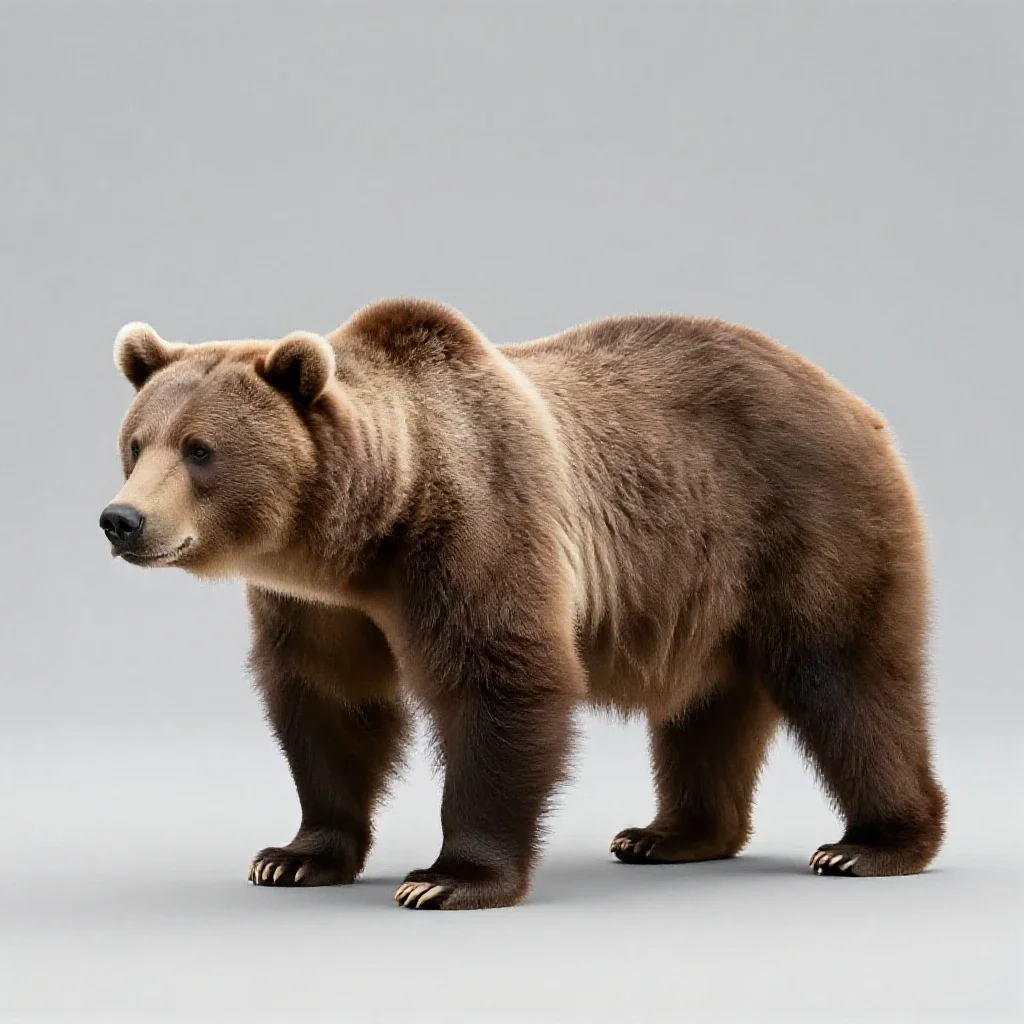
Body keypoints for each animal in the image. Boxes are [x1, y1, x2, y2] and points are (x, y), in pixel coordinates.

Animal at [101, 298, 947, 910]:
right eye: (137, 443)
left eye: (201, 450)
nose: (122, 520)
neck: (365, 533)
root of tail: (856, 402)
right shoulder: (317, 604)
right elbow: (328, 703)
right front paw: (293, 857)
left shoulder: (476, 525)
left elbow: (499, 680)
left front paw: (446, 878)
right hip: (708, 592)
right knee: (708, 710)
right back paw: (668, 834)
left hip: (807, 523)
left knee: (847, 681)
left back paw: (869, 845)